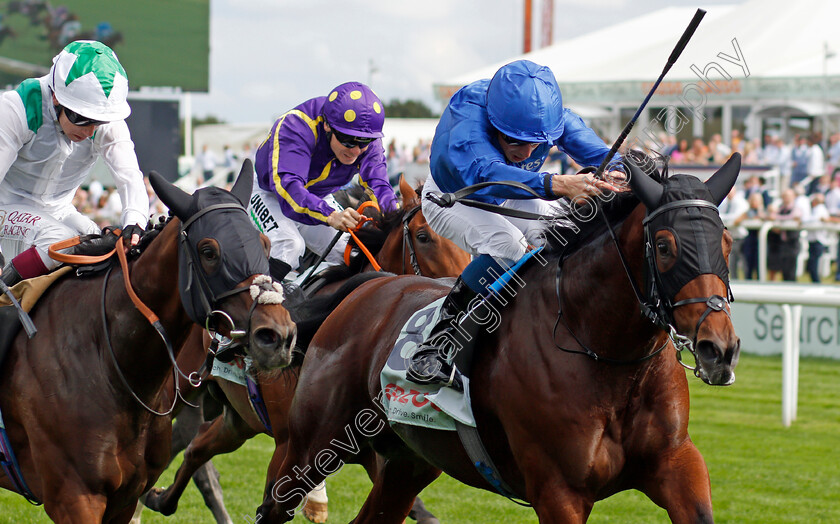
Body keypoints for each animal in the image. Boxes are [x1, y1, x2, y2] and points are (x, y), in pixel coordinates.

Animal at [144, 174, 470, 520]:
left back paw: (160, 498)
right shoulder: (290, 444)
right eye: (423, 236)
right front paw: (315, 502)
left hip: (239, 419)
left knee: (196, 447)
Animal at [254, 154, 740, 520]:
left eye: (728, 242)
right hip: (312, 443)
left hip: (407, 463)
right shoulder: (558, 490)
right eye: (665, 245)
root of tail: (367, 286)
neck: (604, 354)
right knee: (275, 505)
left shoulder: (676, 464)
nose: (719, 348)